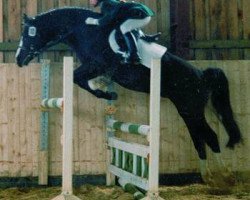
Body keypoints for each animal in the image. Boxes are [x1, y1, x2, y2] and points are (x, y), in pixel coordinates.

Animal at [15, 7, 242, 184]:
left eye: (28, 34)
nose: (18, 59)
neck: (85, 31)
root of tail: (201, 75)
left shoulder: (96, 64)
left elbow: (77, 78)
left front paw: (106, 92)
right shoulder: (94, 66)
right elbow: (81, 79)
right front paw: (104, 88)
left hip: (191, 109)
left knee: (210, 136)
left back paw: (225, 176)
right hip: (187, 111)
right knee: (198, 139)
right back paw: (207, 177)